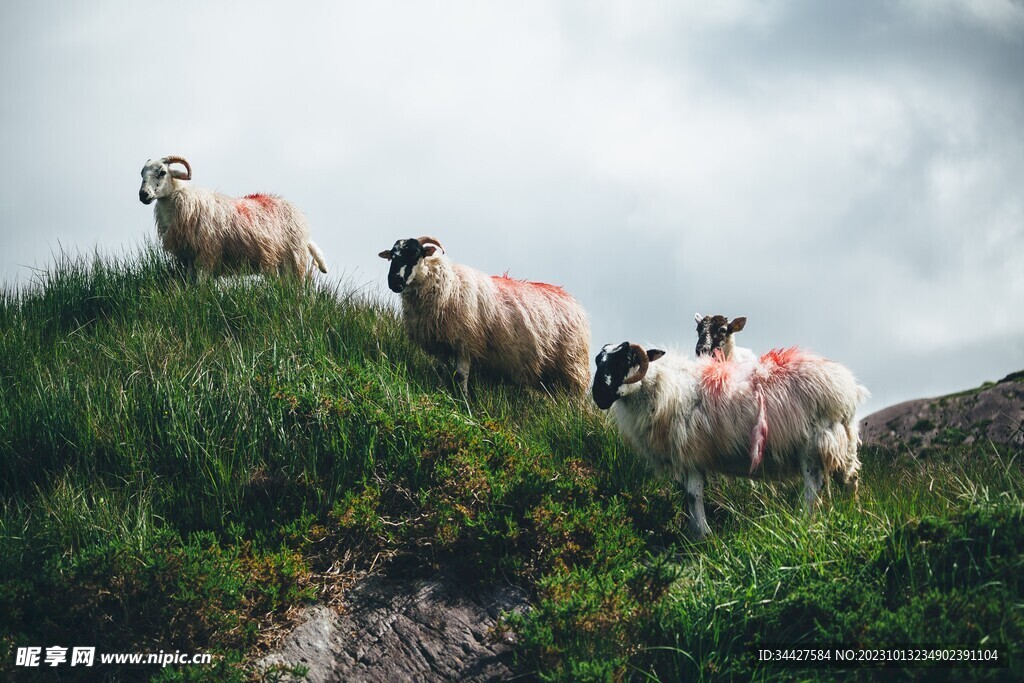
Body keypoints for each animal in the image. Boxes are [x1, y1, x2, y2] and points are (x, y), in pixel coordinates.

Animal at [138, 156, 325, 278]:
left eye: (162, 172)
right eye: (142, 174)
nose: (143, 195)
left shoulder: (207, 254)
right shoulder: (188, 257)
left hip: (293, 259)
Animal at [380, 237, 593, 395]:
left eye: (416, 254)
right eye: (392, 256)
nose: (394, 282)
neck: (449, 286)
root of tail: (571, 298)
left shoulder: (466, 341)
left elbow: (460, 375)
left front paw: (462, 400)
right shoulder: (439, 342)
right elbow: (441, 371)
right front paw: (440, 391)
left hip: (572, 366)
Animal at [593, 342, 864, 540]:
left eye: (627, 360)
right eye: (599, 361)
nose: (598, 396)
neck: (662, 387)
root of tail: (848, 387)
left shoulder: (692, 452)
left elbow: (693, 495)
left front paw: (703, 534)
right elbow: (687, 495)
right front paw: (693, 531)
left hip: (813, 443)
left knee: (813, 488)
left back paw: (807, 522)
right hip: (842, 443)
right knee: (849, 479)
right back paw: (853, 512)